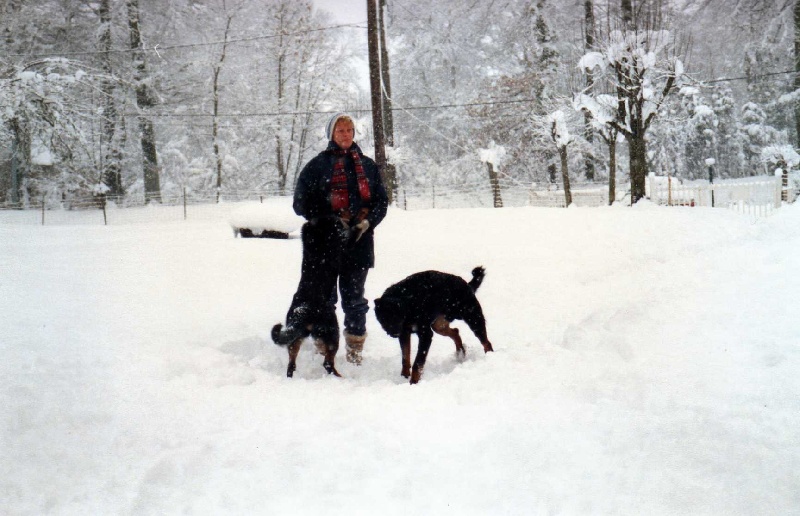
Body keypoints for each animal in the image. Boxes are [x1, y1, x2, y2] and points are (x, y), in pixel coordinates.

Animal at [272, 216, 354, 376]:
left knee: (291, 364)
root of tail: (304, 310)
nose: (346, 220)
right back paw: (340, 377)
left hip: (296, 337)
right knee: (328, 363)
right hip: (331, 333)